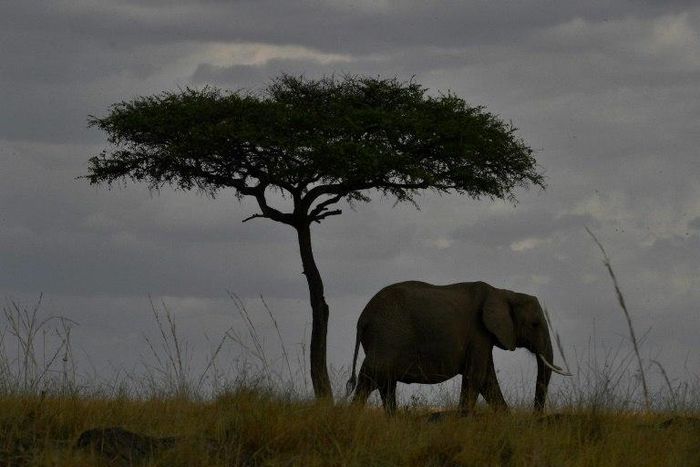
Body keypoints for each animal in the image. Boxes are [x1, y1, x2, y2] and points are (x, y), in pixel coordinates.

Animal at [345, 281, 570, 414]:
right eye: (535, 324)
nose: (535, 416)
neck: (504, 293)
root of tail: (362, 318)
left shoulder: (483, 337)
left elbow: (487, 380)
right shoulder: (479, 332)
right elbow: (476, 377)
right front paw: (464, 418)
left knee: (385, 383)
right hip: (387, 337)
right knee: (371, 378)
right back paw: (353, 416)